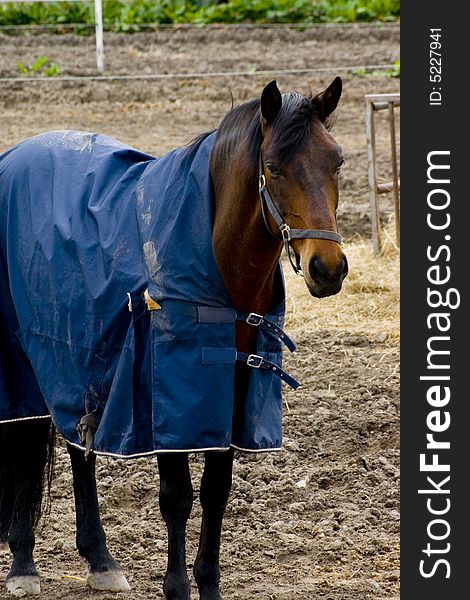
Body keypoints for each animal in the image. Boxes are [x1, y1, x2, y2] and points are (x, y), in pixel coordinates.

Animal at [0, 79, 346, 600]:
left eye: (337, 161)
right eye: (273, 167)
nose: (328, 268)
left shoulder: (230, 393)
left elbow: (216, 493)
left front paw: (210, 587)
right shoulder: (166, 396)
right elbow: (177, 497)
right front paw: (178, 588)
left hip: (74, 359)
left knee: (77, 445)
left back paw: (101, 560)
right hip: (20, 355)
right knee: (24, 436)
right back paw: (23, 565)